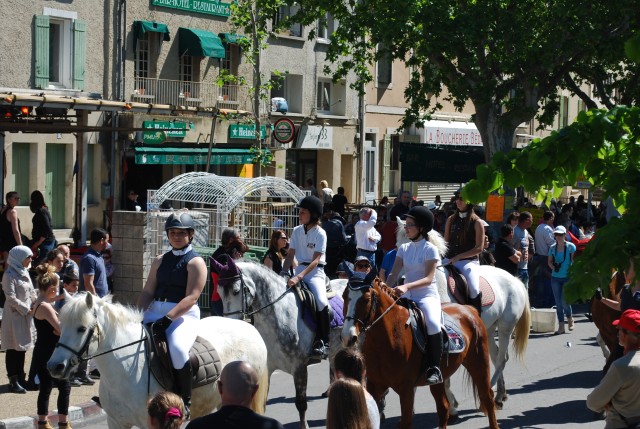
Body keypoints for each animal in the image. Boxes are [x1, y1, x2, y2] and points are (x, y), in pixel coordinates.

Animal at [48, 290, 268, 428]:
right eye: (61, 324)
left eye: (81, 328)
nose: (54, 366)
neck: (124, 371)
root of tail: (249, 327)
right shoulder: (116, 422)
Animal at [212, 258, 344, 428]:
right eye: (219, 293)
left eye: (236, 291)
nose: (230, 324)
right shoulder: (267, 368)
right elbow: (262, 403)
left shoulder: (299, 367)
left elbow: (301, 404)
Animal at [342, 278, 498, 428]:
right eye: (344, 296)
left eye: (366, 298)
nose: (348, 337)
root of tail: (468, 309)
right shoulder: (375, 386)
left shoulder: (406, 389)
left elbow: (406, 422)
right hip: (440, 378)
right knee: (443, 408)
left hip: (479, 363)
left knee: (488, 397)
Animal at [396, 221, 528, 408]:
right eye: (398, 246)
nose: (401, 281)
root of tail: (514, 279)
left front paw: (451, 405)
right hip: (489, 329)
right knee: (496, 357)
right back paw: (500, 394)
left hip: (505, 328)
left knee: (502, 358)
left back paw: (492, 390)